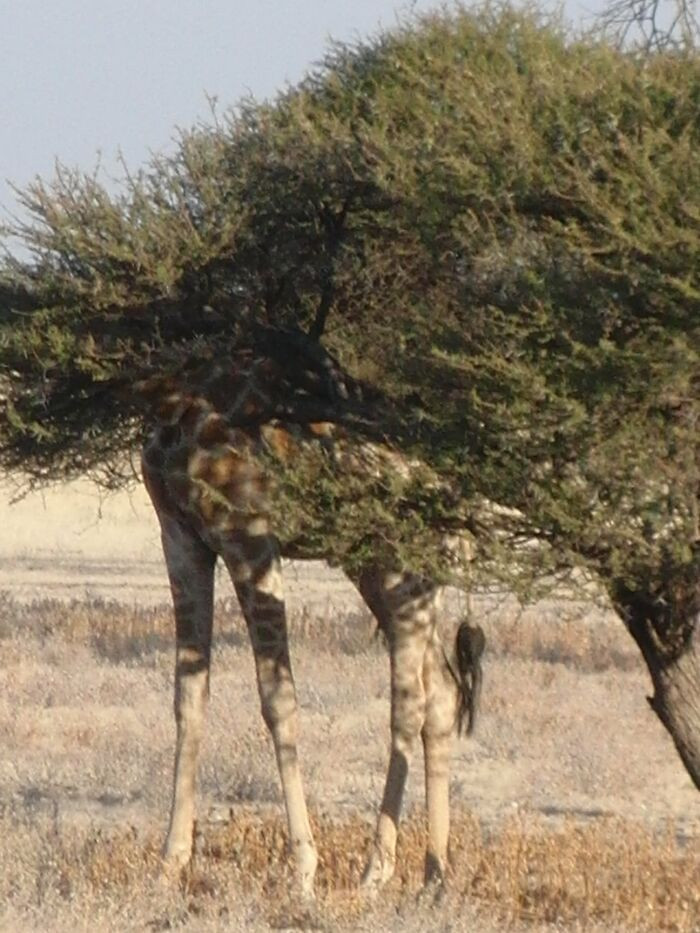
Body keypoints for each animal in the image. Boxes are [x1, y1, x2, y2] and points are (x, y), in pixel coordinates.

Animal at [139, 334, 484, 896]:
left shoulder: (251, 537)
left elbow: (278, 699)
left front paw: (304, 868)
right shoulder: (181, 536)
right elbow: (188, 696)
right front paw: (170, 864)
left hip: (404, 563)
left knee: (410, 701)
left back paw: (376, 870)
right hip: (386, 569)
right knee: (443, 692)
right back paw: (434, 874)